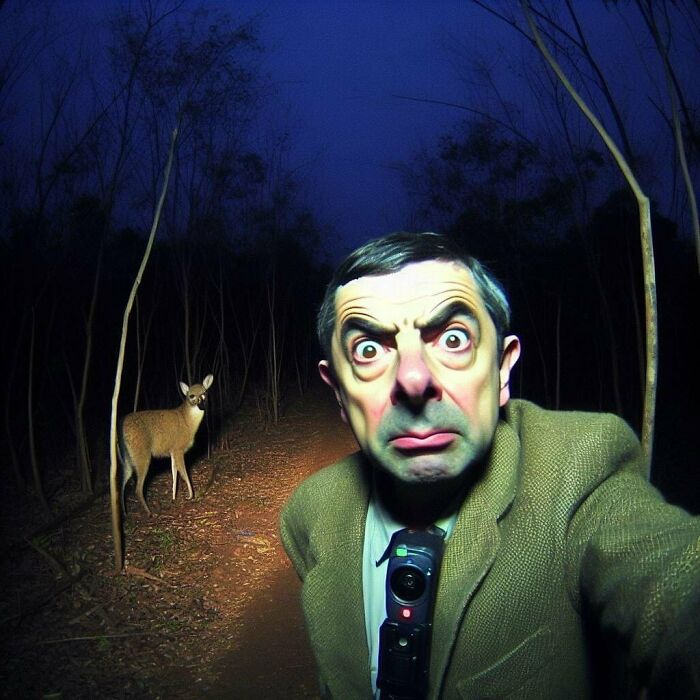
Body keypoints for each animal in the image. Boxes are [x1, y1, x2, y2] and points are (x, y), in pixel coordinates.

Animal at [118, 374, 214, 515]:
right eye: (191, 396)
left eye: (204, 393)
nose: (201, 405)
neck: (187, 422)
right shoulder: (178, 448)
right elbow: (184, 472)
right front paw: (190, 495)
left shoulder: (172, 451)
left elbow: (174, 473)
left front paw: (174, 498)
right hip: (142, 456)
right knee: (138, 488)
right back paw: (149, 512)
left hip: (128, 460)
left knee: (122, 483)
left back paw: (125, 513)